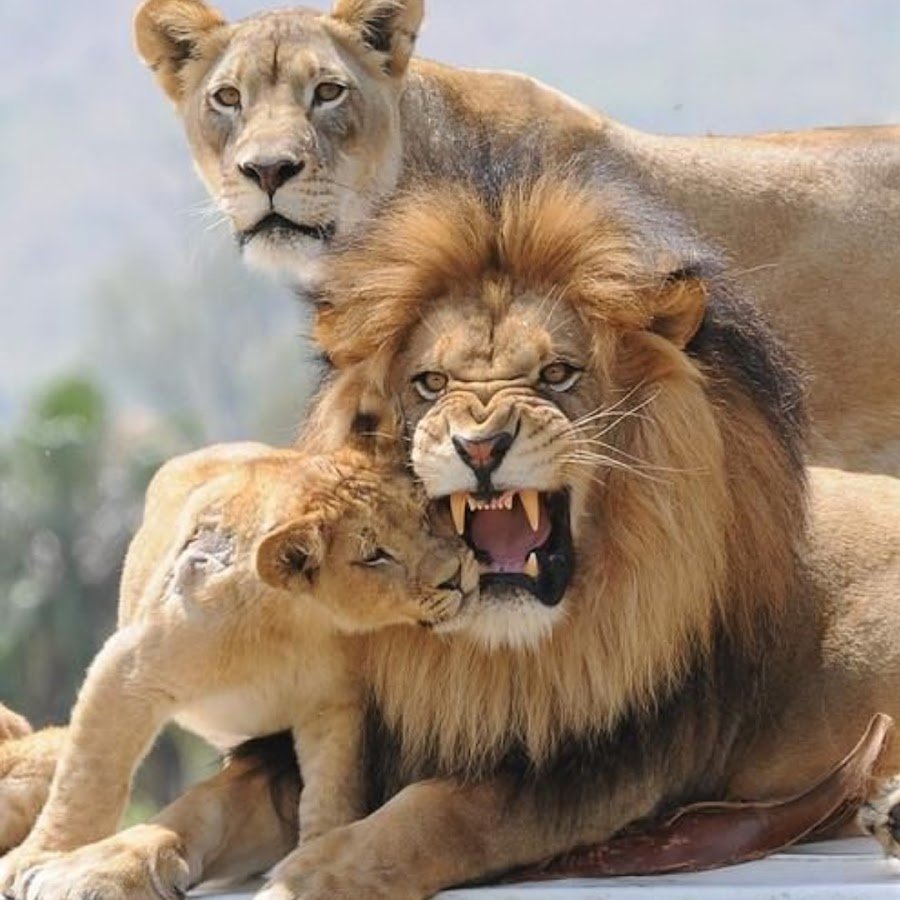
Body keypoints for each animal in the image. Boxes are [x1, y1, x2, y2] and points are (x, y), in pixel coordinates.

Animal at [0, 441, 478, 897]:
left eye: (425, 515)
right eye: (375, 556)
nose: (456, 575)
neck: (287, 621)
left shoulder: (332, 707)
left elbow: (331, 789)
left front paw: (316, 852)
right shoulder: (126, 671)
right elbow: (87, 782)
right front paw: (38, 860)